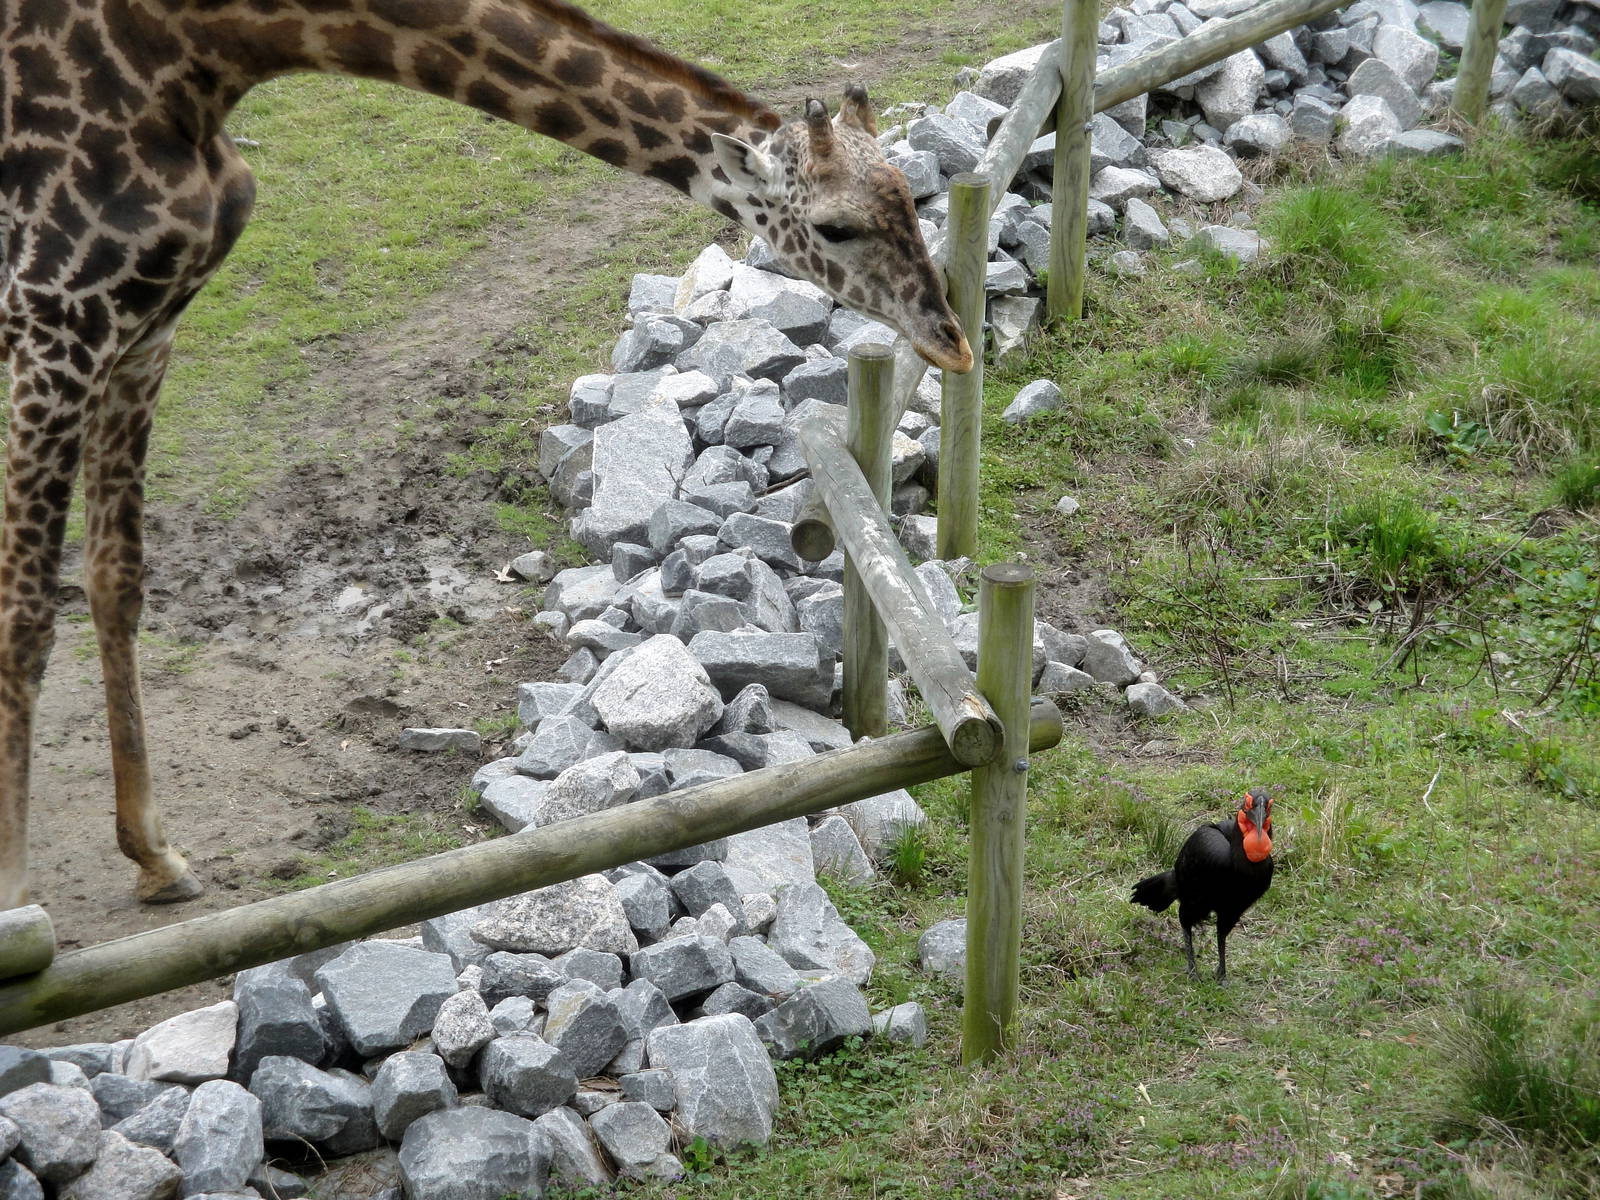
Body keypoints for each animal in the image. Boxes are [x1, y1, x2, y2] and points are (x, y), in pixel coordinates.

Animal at [0, 0, 973, 911]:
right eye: (837, 228)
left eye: (904, 194)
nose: (953, 341)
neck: (195, 56)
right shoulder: (53, 318)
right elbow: (26, 616)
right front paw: (19, 908)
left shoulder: (143, 328)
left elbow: (115, 581)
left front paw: (156, 857)